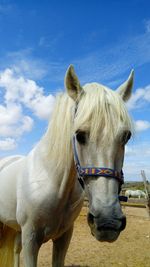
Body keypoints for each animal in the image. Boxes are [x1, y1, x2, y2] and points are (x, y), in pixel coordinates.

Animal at [0, 65, 134, 267]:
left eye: (126, 136)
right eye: (79, 134)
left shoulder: (64, 237)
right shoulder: (30, 239)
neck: (52, 181)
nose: (108, 222)